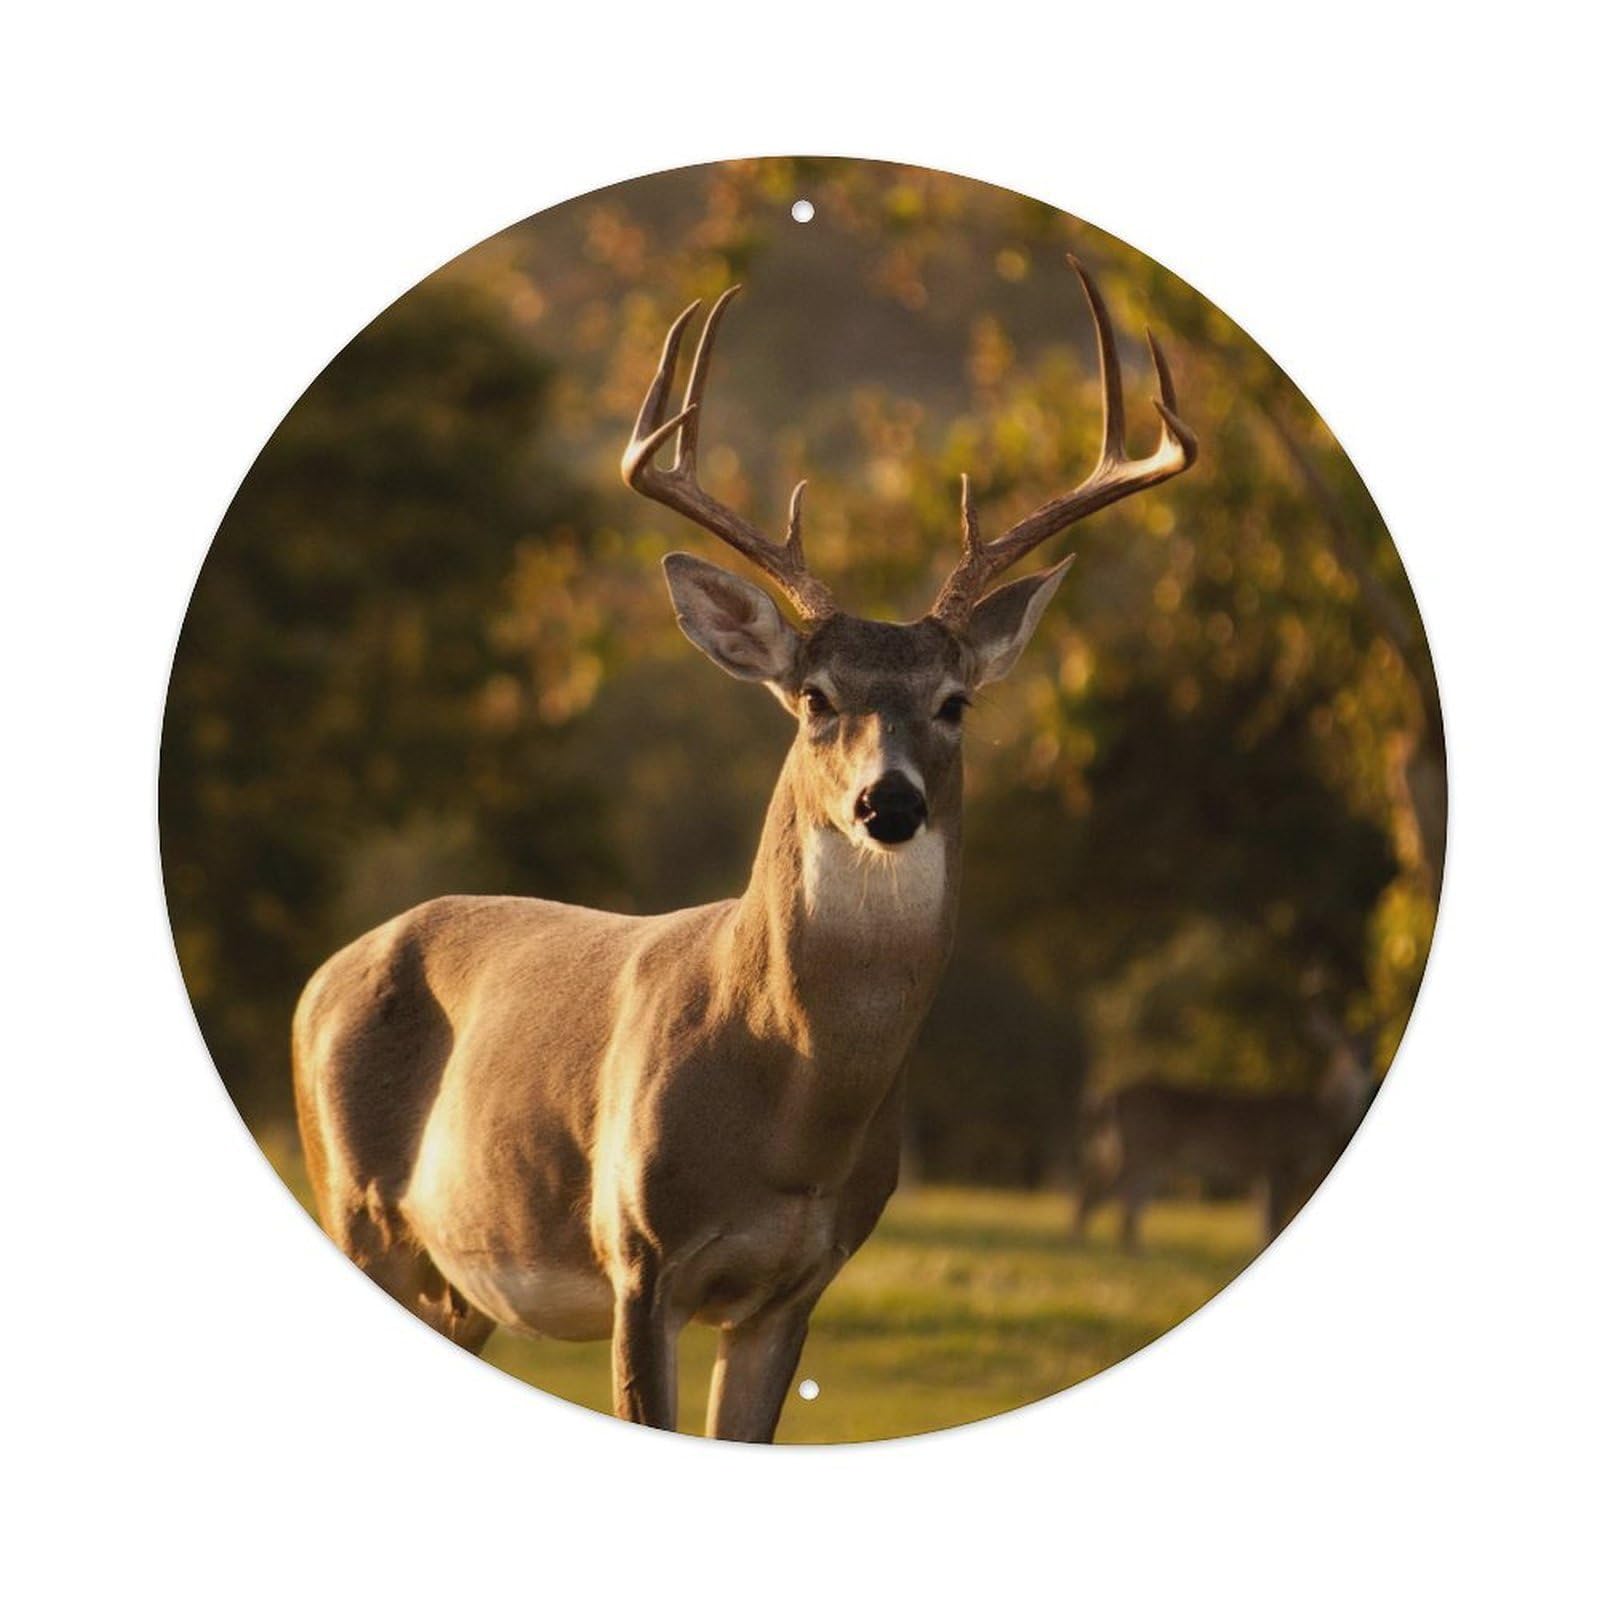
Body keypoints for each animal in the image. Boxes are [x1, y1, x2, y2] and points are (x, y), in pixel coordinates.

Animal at [292, 258, 1196, 1440]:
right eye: (815, 698)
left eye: (954, 702)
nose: (887, 802)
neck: (791, 1108)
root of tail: (320, 978)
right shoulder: (638, 1258)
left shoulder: (796, 1285)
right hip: (354, 1209)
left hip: (456, 1285)